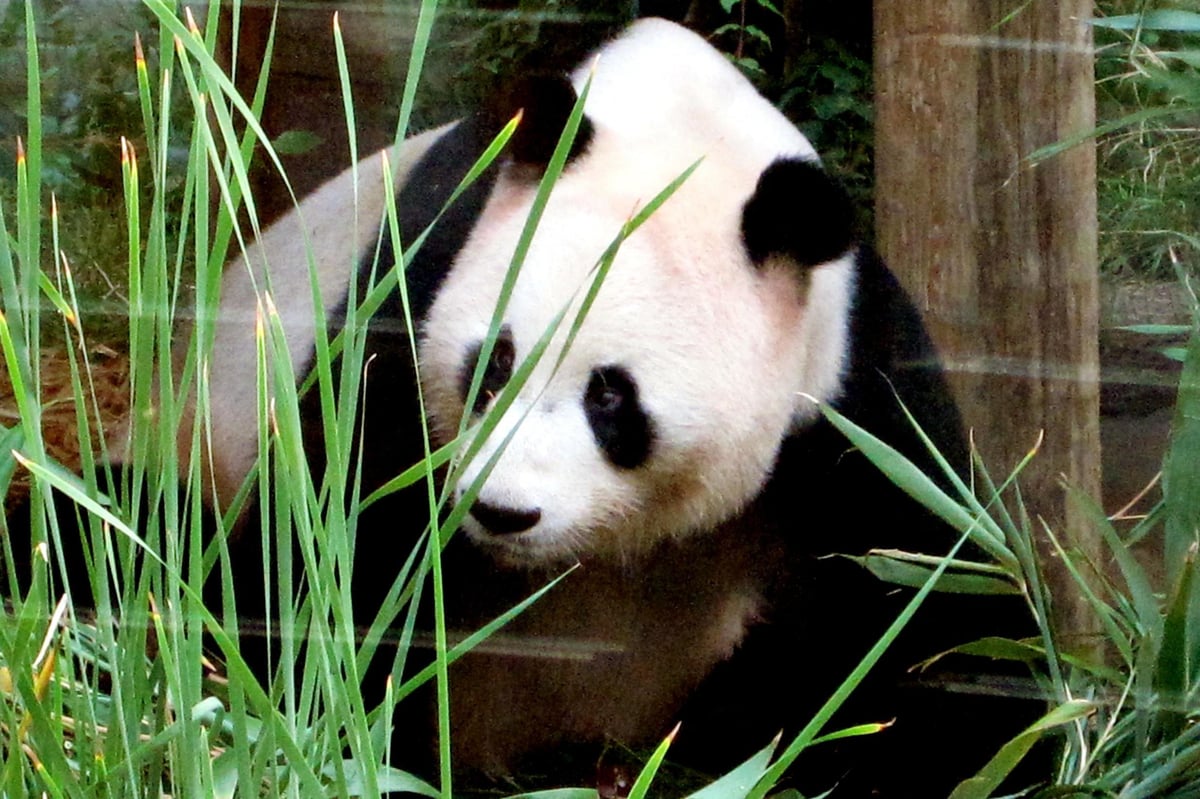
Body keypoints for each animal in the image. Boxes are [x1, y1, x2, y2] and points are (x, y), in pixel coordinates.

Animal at [126, 17, 1037, 798]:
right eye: (493, 364)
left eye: (611, 397)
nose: (502, 511)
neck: (678, 130)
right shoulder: (420, 275)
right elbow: (337, 537)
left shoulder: (845, 389)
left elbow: (934, 604)